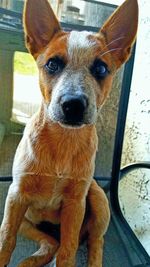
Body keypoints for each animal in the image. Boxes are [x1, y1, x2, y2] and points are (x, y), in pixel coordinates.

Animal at [0, 0, 138, 266]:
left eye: (101, 69)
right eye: (52, 64)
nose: (73, 104)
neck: (62, 141)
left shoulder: (75, 204)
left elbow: (68, 250)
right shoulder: (16, 196)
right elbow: (5, 242)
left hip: (98, 199)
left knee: (94, 242)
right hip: (25, 217)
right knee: (50, 242)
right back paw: (29, 261)